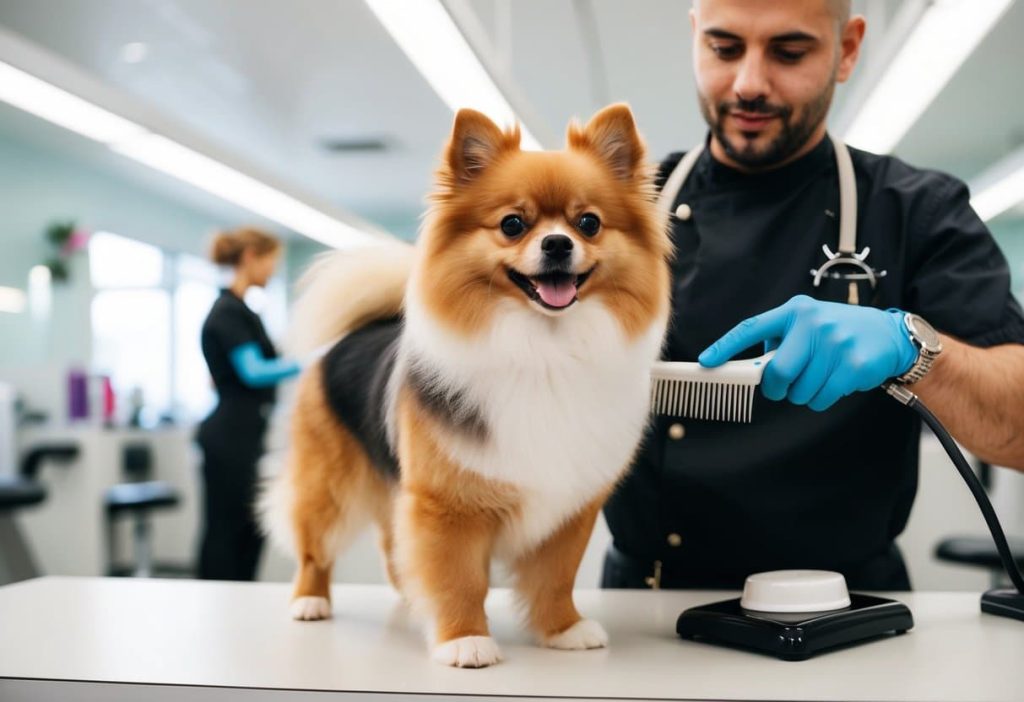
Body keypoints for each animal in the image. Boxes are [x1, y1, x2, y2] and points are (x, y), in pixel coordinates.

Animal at [266, 104, 671, 671]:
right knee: (314, 546)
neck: (543, 351)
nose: (557, 243)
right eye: (512, 224)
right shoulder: (446, 503)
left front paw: (562, 629)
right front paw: (464, 640)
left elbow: (556, 577)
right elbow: (458, 578)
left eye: (588, 223)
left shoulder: (571, 506)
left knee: (392, 549)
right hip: (328, 485)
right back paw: (309, 601)